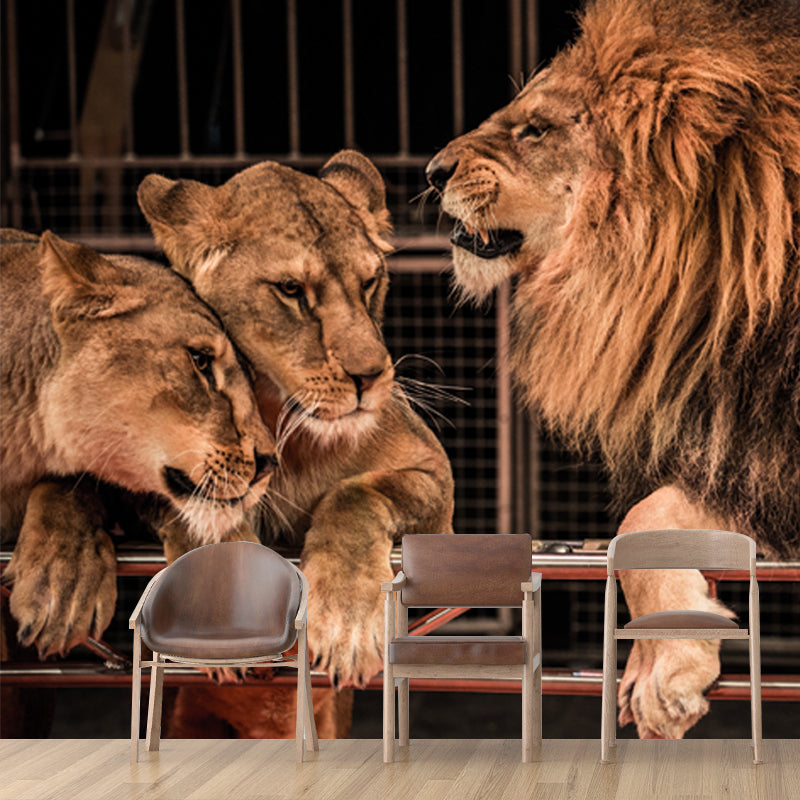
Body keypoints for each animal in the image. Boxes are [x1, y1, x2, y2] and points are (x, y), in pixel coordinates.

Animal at [136, 150, 455, 738]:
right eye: (290, 290)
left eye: (370, 282)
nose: (372, 376)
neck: (286, 426)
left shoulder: (435, 483)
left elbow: (354, 494)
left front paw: (348, 626)